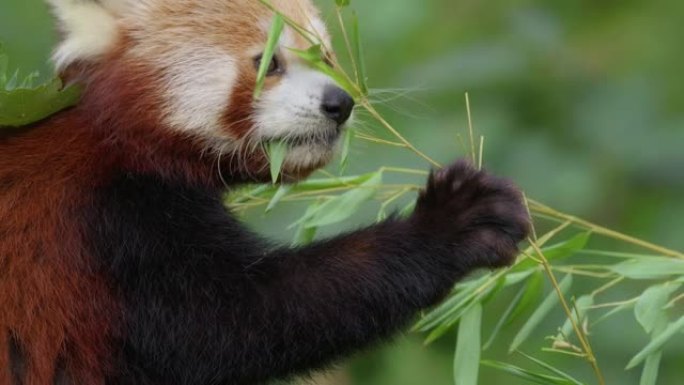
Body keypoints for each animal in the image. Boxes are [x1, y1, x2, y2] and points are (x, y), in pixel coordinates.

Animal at [0, 0, 532, 384]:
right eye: (269, 62)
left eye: (326, 55)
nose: (340, 103)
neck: (108, 139)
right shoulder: (111, 223)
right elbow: (243, 321)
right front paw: (453, 223)